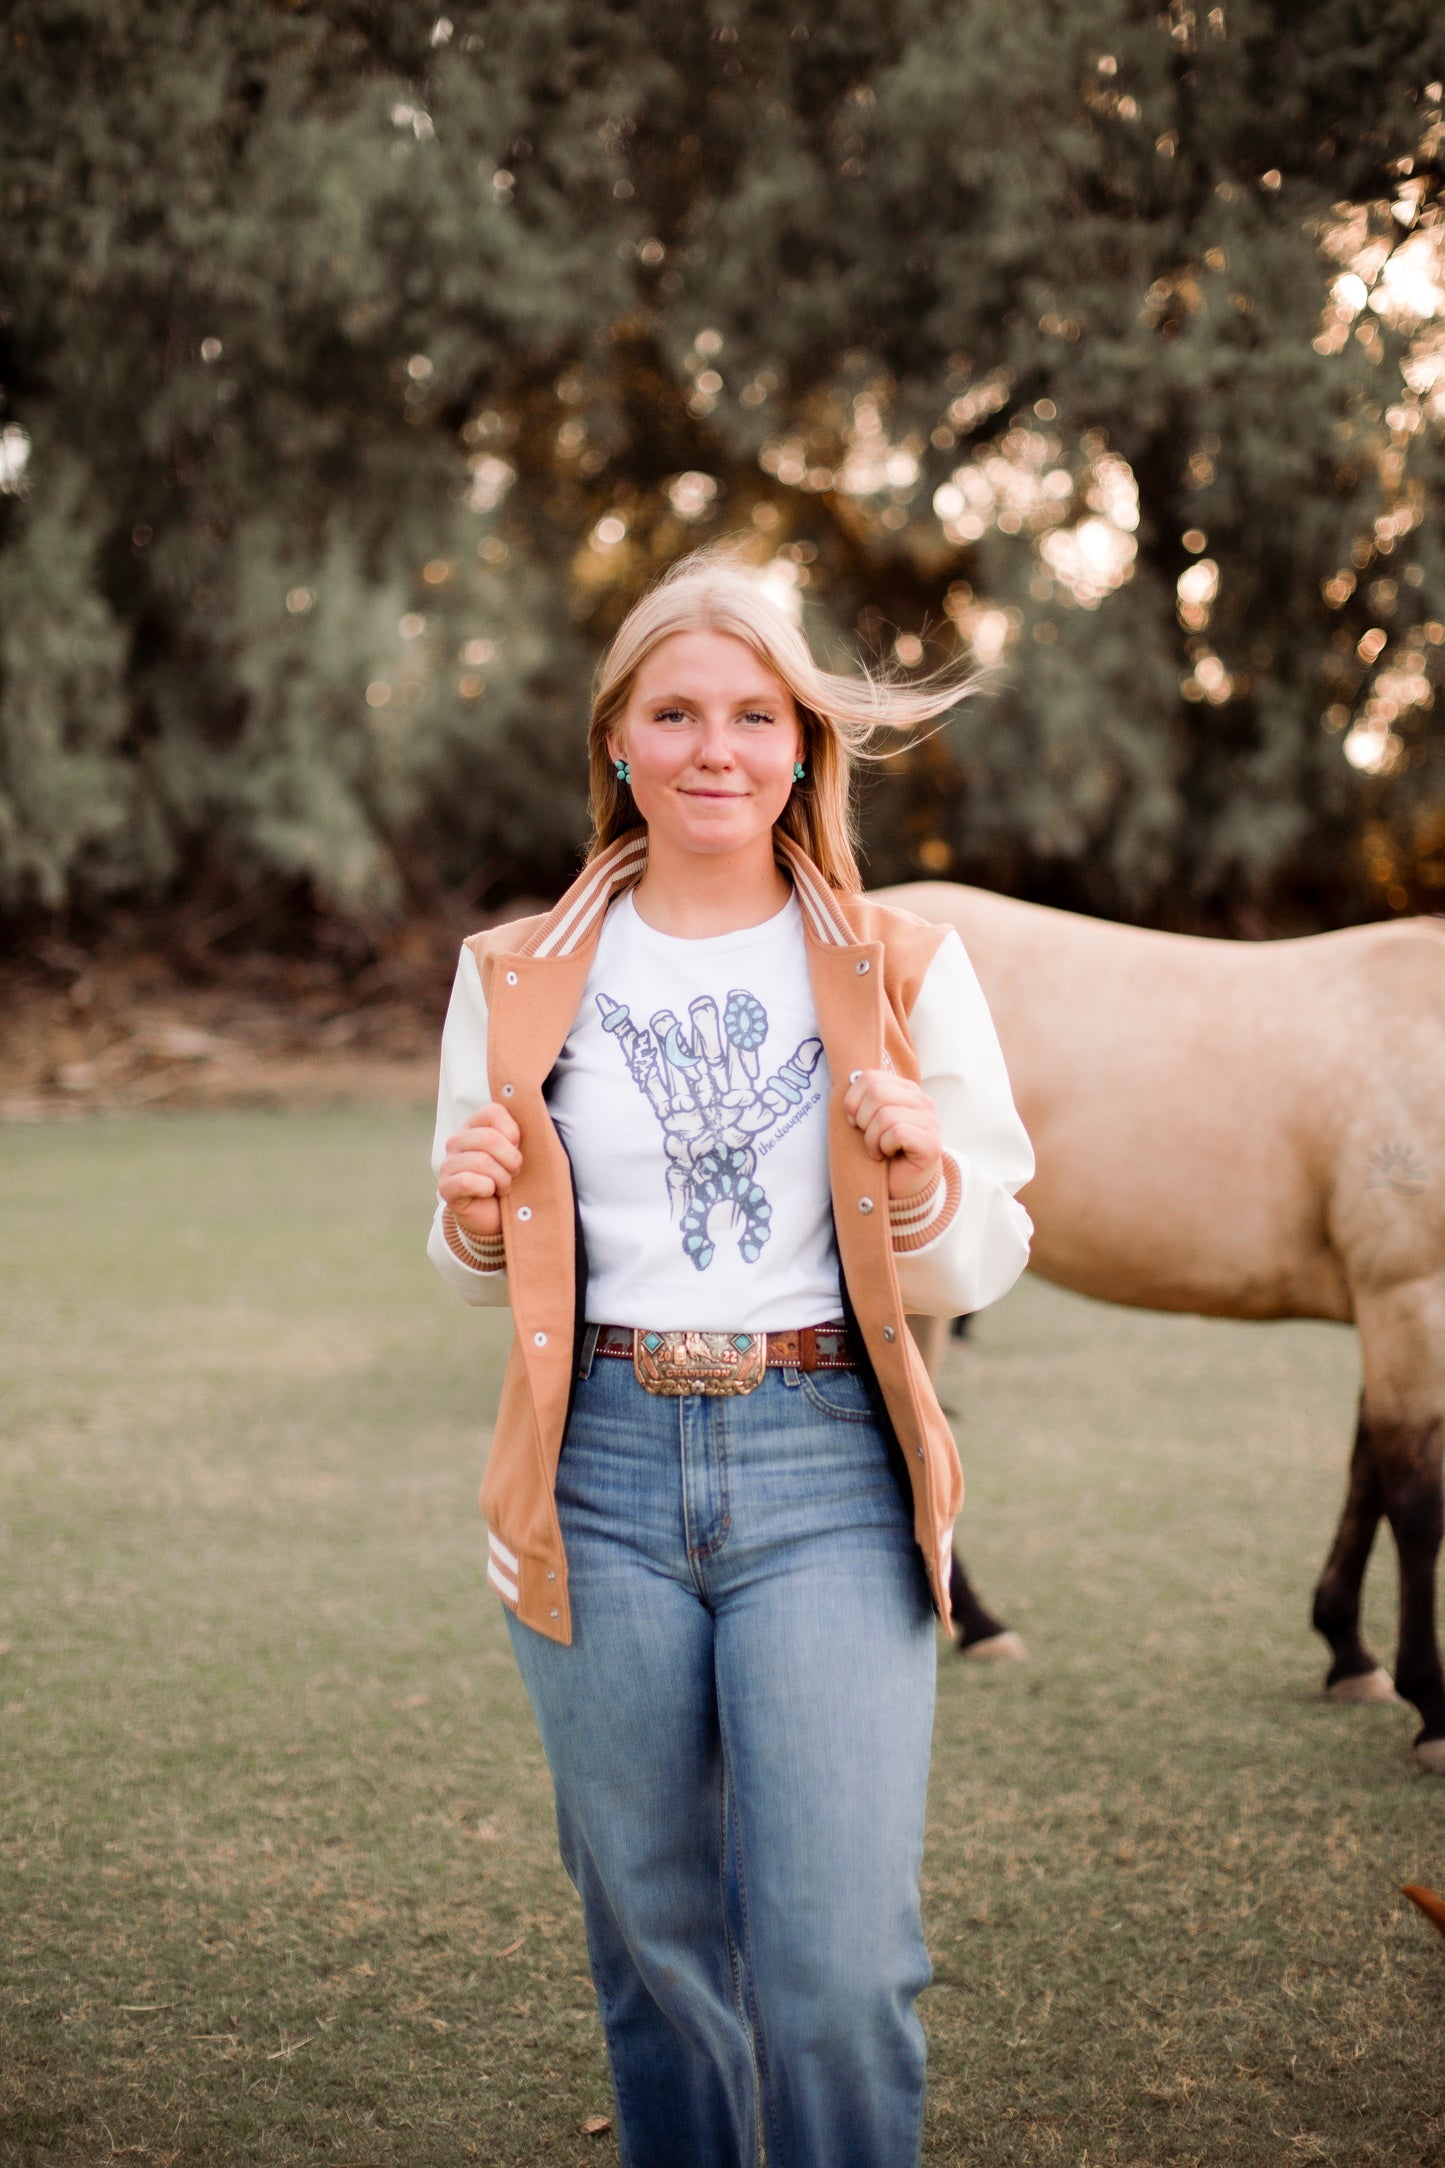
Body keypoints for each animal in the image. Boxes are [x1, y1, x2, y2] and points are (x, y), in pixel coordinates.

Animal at [883, 880, 1445, 1777]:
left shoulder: (1388, 1305)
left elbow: (1367, 1473)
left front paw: (1348, 1655)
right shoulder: (1406, 1292)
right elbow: (1416, 1498)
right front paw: (1433, 1709)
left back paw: (975, 1622)